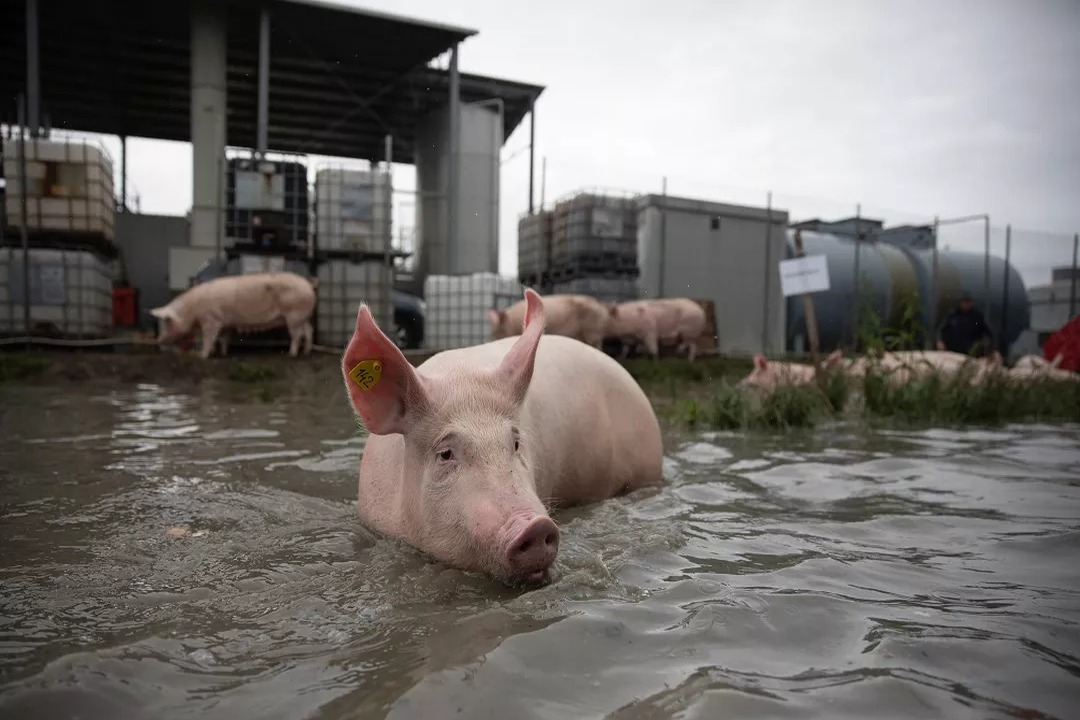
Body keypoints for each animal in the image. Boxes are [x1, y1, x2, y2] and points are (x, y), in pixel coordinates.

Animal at [149, 271, 317, 359]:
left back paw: (291, 354)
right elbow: (224, 338)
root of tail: (308, 284)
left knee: (297, 335)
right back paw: (306, 352)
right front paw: (223, 354)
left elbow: (208, 338)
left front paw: (202, 355)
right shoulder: (226, 323)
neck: (192, 310)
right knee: (309, 330)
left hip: (294, 314)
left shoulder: (211, 320)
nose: (158, 340)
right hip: (303, 315)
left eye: (167, 321)